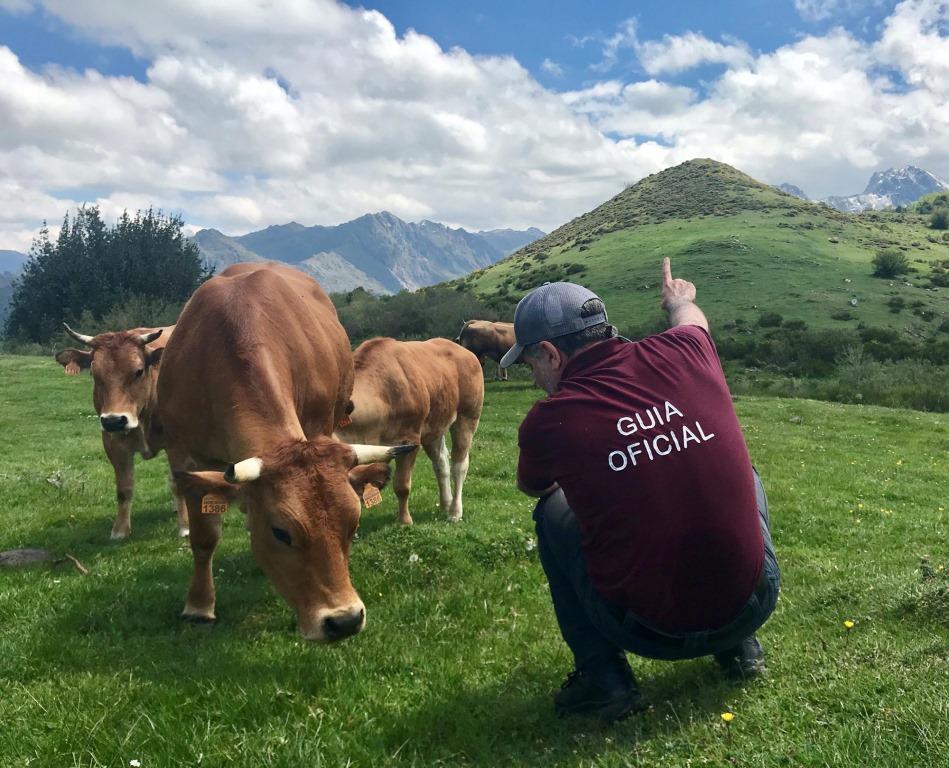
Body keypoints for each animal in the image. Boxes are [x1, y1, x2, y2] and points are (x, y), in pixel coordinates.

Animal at [55, 324, 187, 540]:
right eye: (94, 374)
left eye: (138, 371)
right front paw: (120, 530)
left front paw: (184, 527)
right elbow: (124, 488)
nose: (114, 421)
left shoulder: (177, 442)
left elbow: (178, 483)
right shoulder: (112, 443)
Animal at [159, 262, 411, 643]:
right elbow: (204, 538)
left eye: (353, 523)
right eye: (281, 532)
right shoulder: (185, 456)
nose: (344, 620)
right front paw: (199, 606)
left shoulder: (319, 426)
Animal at [336, 337, 483, 525]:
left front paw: (404, 520)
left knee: (459, 464)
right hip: (433, 426)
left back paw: (455, 511)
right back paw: (445, 503)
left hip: (468, 417)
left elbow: (402, 485)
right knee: (441, 463)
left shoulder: (409, 440)